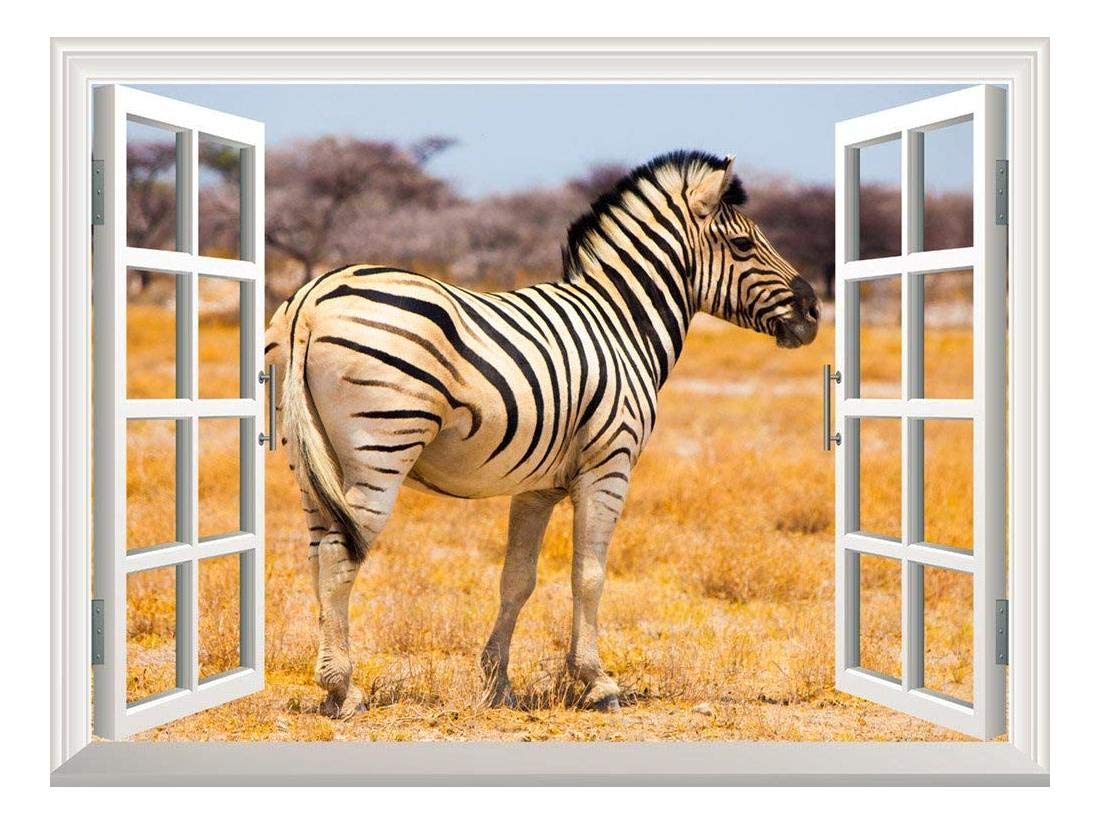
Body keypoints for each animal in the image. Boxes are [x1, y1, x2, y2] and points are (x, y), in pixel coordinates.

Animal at [264, 150, 820, 718]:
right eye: (744, 245)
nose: (814, 312)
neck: (623, 323)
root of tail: (312, 298)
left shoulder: (537, 486)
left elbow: (517, 579)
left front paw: (496, 683)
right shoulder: (609, 465)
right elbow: (589, 574)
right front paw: (597, 681)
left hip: (310, 459)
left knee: (317, 552)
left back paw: (333, 679)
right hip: (382, 447)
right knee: (339, 554)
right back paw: (343, 687)